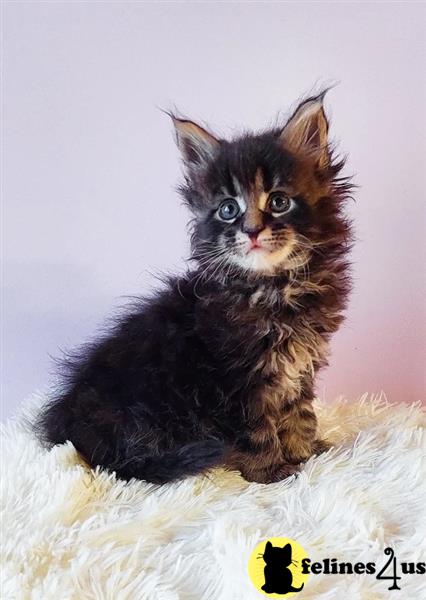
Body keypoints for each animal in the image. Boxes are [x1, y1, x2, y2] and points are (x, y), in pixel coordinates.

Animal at [36, 91, 352, 486]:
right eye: (228, 209)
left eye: (279, 202)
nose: (251, 231)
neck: (274, 286)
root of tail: (75, 425)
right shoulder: (236, 379)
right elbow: (257, 428)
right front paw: (271, 472)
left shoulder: (299, 366)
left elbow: (299, 412)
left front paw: (306, 452)